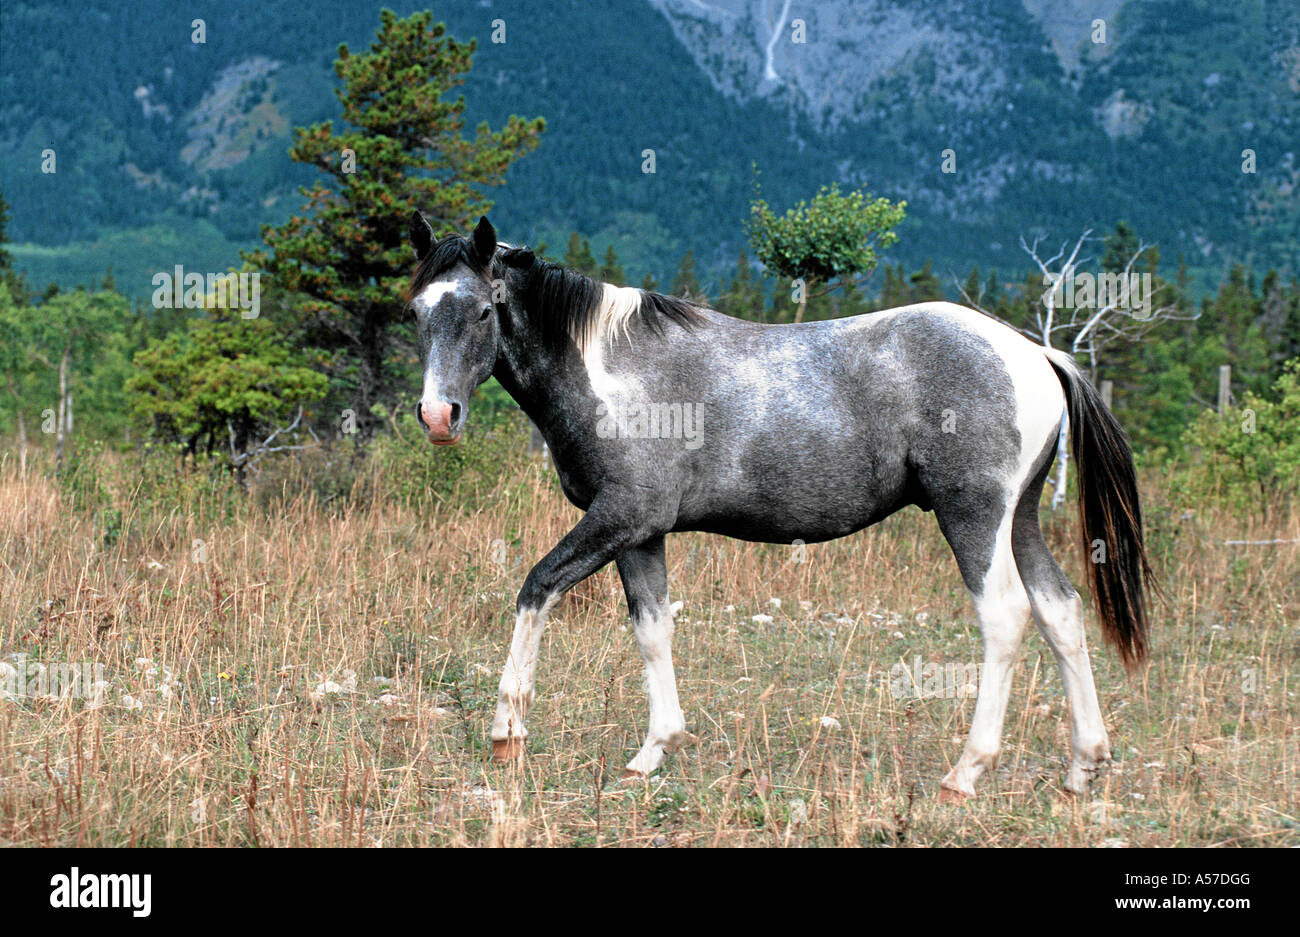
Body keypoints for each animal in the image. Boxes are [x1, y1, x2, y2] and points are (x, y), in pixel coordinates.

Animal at [403, 214, 1149, 795]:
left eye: (481, 310)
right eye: (416, 311)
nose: (438, 416)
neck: (608, 368)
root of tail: (1036, 352)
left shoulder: (620, 517)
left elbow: (537, 588)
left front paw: (507, 730)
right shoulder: (641, 533)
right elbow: (652, 629)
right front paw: (654, 751)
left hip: (974, 516)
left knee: (1006, 617)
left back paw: (965, 772)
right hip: (1019, 520)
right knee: (1060, 610)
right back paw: (1083, 766)